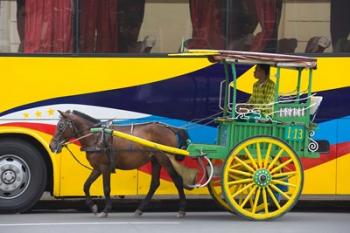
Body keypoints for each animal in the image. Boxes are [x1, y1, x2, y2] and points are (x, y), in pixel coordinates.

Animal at [48, 110, 194, 218]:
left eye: (61, 126)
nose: (52, 146)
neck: (96, 136)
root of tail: (171, 129)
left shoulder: (105, 167)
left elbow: (106, 188)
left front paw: (106, 210)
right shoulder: (97, 168)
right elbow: (86, 185)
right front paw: (93, 206)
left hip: (165, 158)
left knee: (177, 180)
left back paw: (182, 209)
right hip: (155, 159)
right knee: (154, 184)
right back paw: (140, 209)